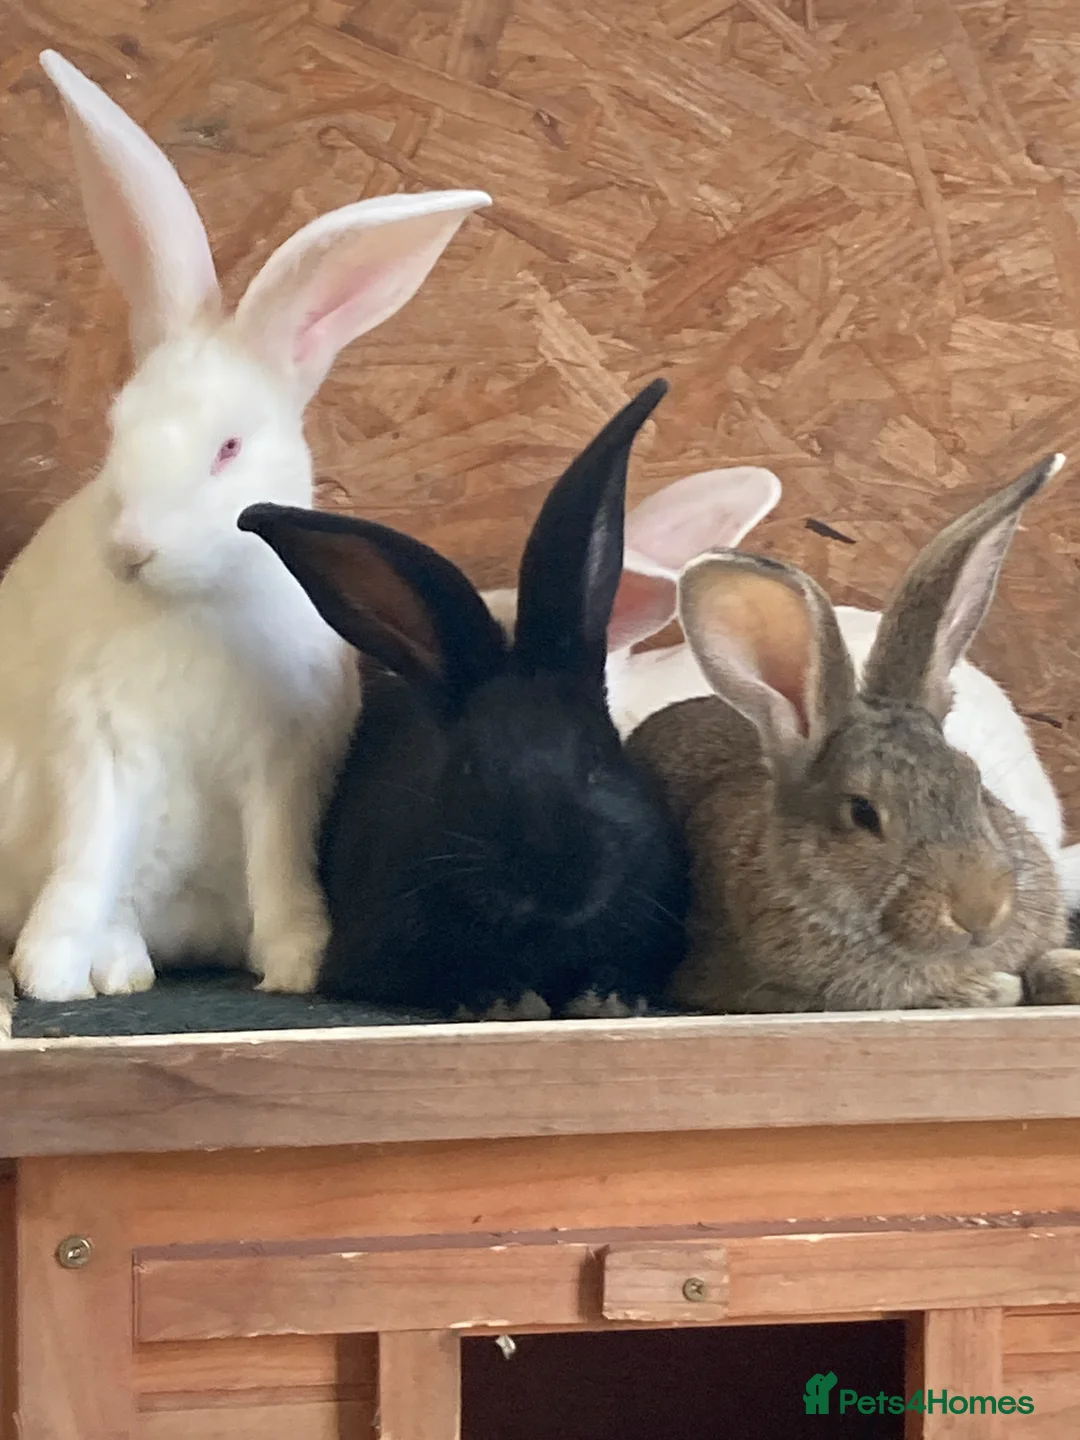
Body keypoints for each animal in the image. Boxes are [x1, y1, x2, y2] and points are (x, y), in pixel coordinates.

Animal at [2, 50, 490, 1001]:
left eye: (228, 448)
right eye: (115, 430)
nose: (131, 551)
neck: (195, 605)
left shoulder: (284, 762)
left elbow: (277, 861)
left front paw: (299, 963)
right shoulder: (100, 748)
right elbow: (88, 863)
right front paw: (49, 977)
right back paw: (119, 971)